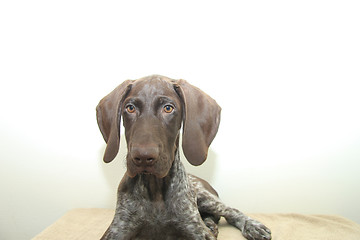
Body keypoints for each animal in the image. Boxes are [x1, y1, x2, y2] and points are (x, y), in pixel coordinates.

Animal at [95, 74, 270, 239]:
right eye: (130, 108)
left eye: (168, 108)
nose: (143, 157)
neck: (155, 191)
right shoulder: (117, 231)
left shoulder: (197, 230)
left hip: (206, 198)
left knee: (230, 211)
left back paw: (252, 226)